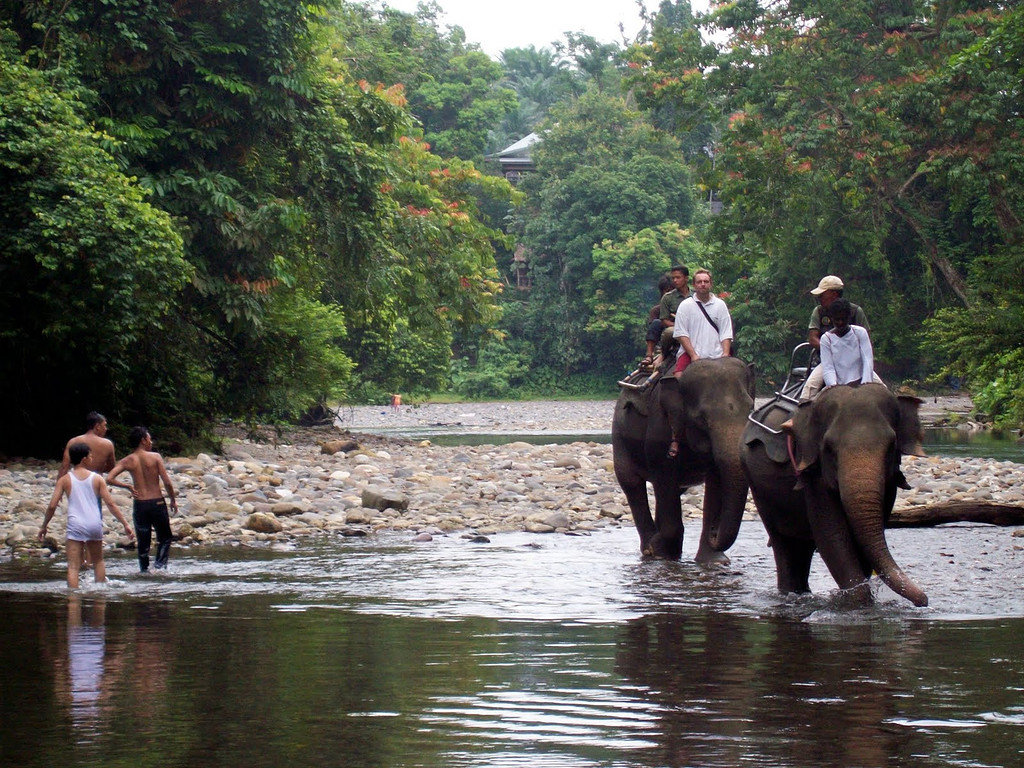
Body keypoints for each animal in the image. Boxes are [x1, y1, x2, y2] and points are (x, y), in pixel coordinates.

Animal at [610, 356, 757, 565]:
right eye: (702, 418)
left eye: (751, 409)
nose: (715, 532)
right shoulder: (659, 427)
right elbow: (664, 477)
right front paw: (660, 550)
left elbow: (716, 482)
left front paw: (714, 561)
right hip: (620, 436)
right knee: (632, 484)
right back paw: (649, 549)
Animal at [741, 382, 933, 606]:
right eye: (829, 448)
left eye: (892, 446)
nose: (924, 600)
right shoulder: (813, 474)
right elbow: (832, 536)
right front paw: (856, 599)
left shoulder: (890, 482)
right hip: (758, 487)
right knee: (785, 545)